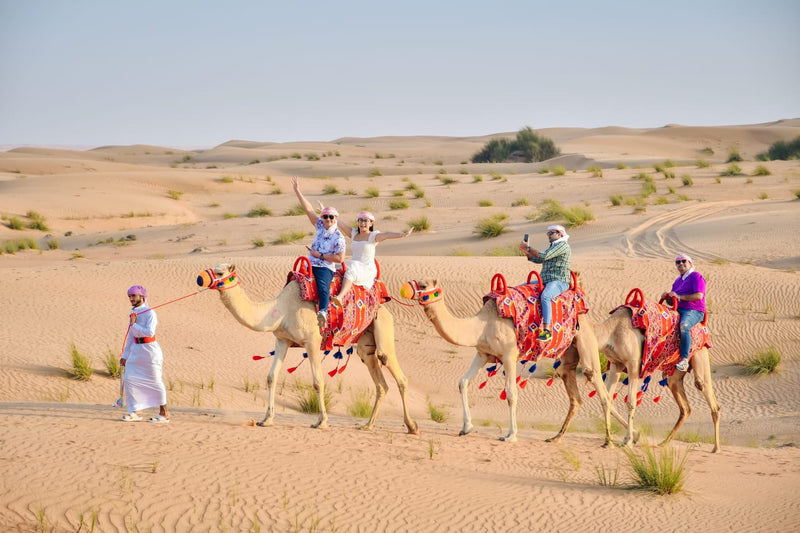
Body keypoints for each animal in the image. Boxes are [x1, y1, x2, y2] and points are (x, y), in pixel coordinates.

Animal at [198, 263, 419, 434]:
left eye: (219, 272)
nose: (200, 278)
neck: (281, 309)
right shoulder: (282, 340)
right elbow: (271, 377)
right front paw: (266, 419)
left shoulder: (312, 340)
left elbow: (317, 382)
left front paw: (321, 422)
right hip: (366, 342)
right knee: (380, 382)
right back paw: (367, 425)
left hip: (384, 326)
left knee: (396, 372)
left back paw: (412, 426)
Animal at [401, 276, 614, 445]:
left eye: (422, 284)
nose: (404, 288)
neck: (481, 326)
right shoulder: (482, 354)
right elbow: (463, 382)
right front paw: (466, 427)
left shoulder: (509, 354)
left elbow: (511, 393)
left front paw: (511, 435)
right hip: (567, 354)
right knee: (574, 395)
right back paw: (556, 437)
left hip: (586, 342)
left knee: (599, 386)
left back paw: (609, 441)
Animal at [592, 304, 722, 452]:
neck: (611, 331)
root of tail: (703, 326)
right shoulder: (616, 364)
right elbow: (608, 400)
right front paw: (630, 436)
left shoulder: (633, 365)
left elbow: (630, 402)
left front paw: (628, 441)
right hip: (674, 373)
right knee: (685, 407)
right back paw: (664, 443)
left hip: (700, 354)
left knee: (707, 393)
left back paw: (716, 448)